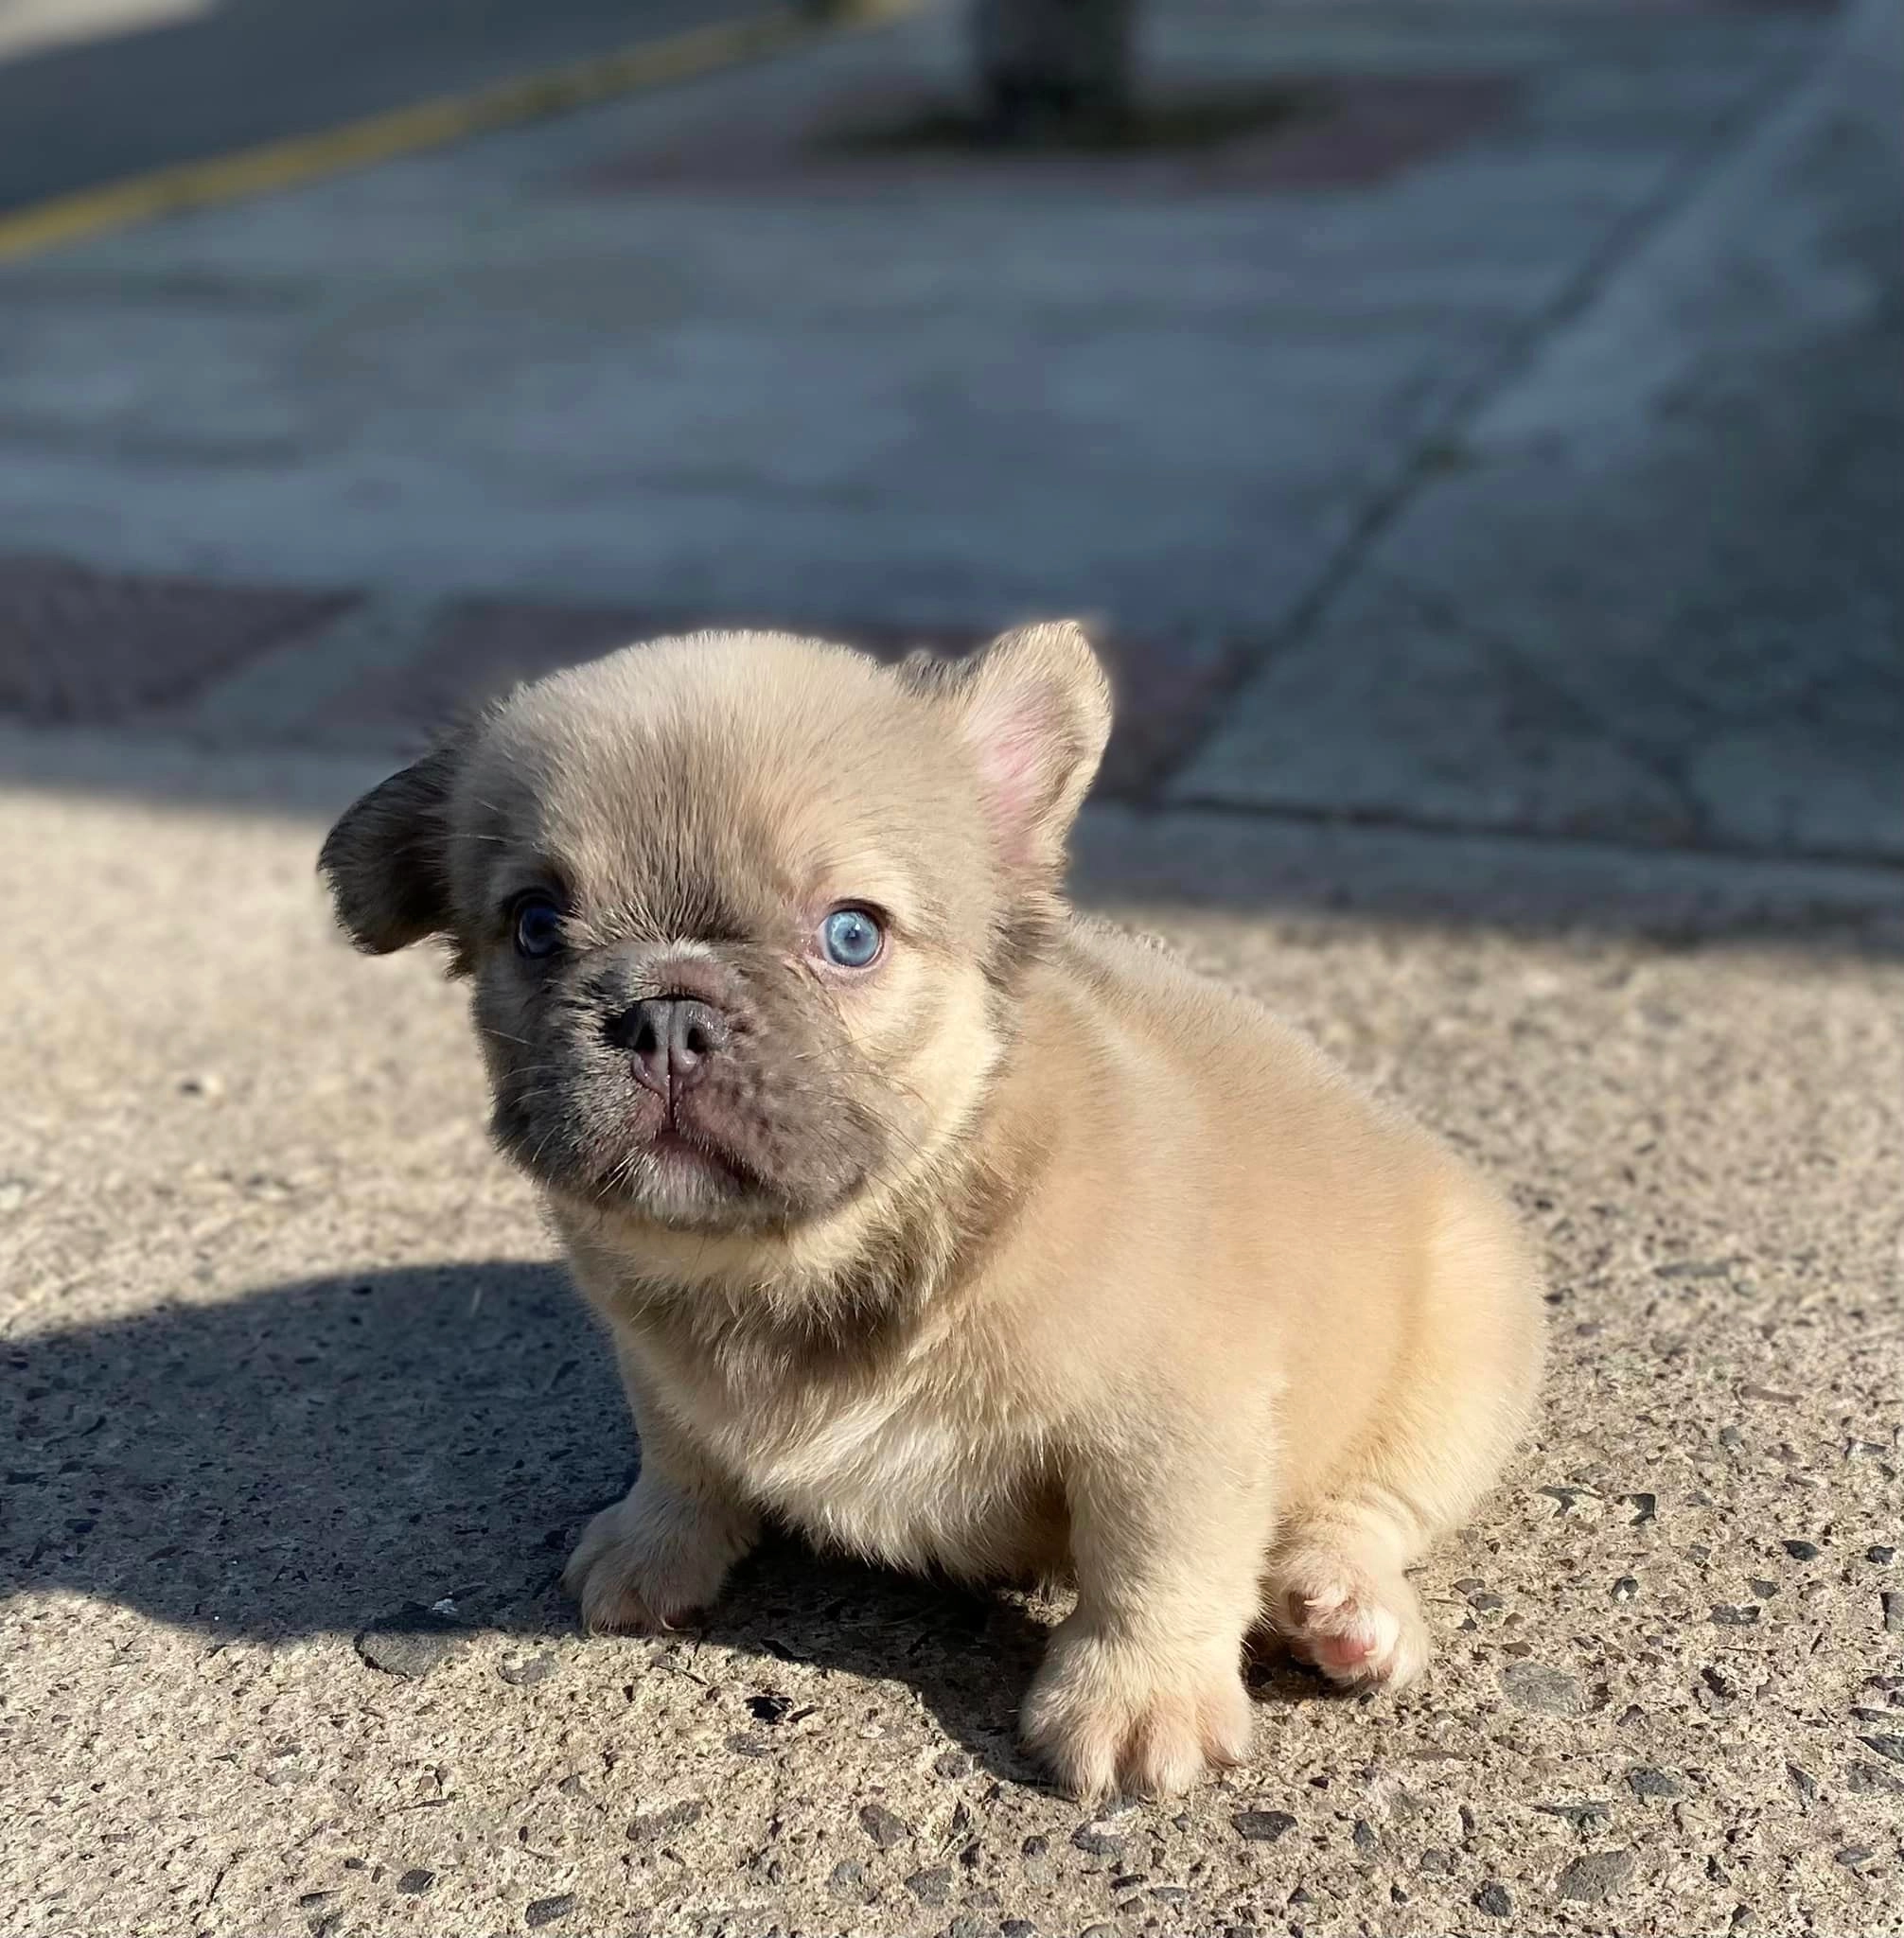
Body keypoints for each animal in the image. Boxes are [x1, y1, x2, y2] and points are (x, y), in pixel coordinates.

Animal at [320, 627, 1543, 1790]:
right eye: (533, 925)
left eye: (851, 934)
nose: (663, 1012)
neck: (806, 1258)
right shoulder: (658, 1365)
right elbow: (680, 1451)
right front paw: (657, 1541)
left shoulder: (1170, 1427)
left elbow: (1155, 1559)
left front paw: (1136, 1695)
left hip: (1464, 1349)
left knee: (1375, 1502)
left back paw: (1342, 1604)